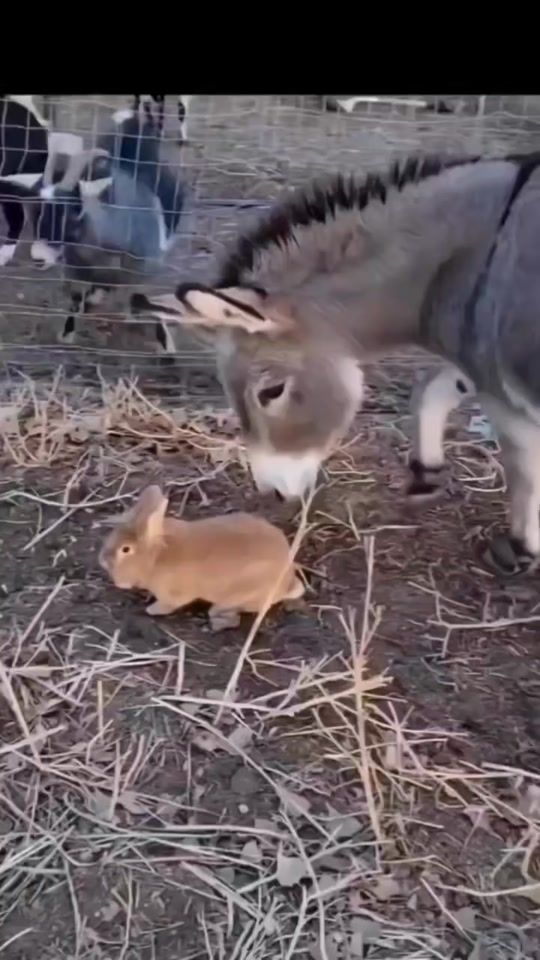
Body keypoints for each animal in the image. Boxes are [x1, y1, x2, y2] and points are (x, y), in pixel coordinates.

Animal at [99, 485, 305, 631]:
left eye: (125, 550)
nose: (102, 560)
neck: (155, 556)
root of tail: (287, 583)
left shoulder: (172, 595)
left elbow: (167, 605)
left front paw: (151, 610)